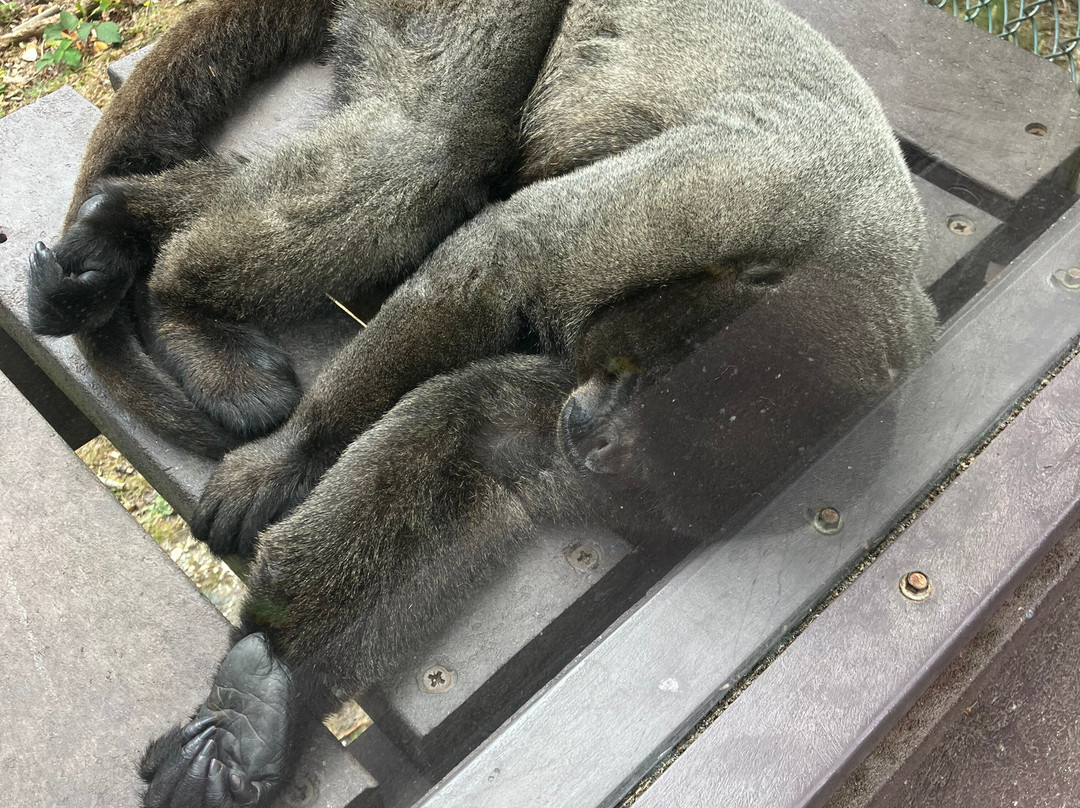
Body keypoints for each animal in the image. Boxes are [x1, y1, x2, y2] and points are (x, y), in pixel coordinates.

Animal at [26, 0, 936, 803]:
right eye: (629, 375)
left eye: (628, 454)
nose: (590, 432)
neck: (824, 265)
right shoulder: (718, 197)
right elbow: (494, 263)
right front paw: (291, 459)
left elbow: (484, 435)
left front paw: (272, 688)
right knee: (428, 147)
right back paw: (171, 291)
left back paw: (122, 225)